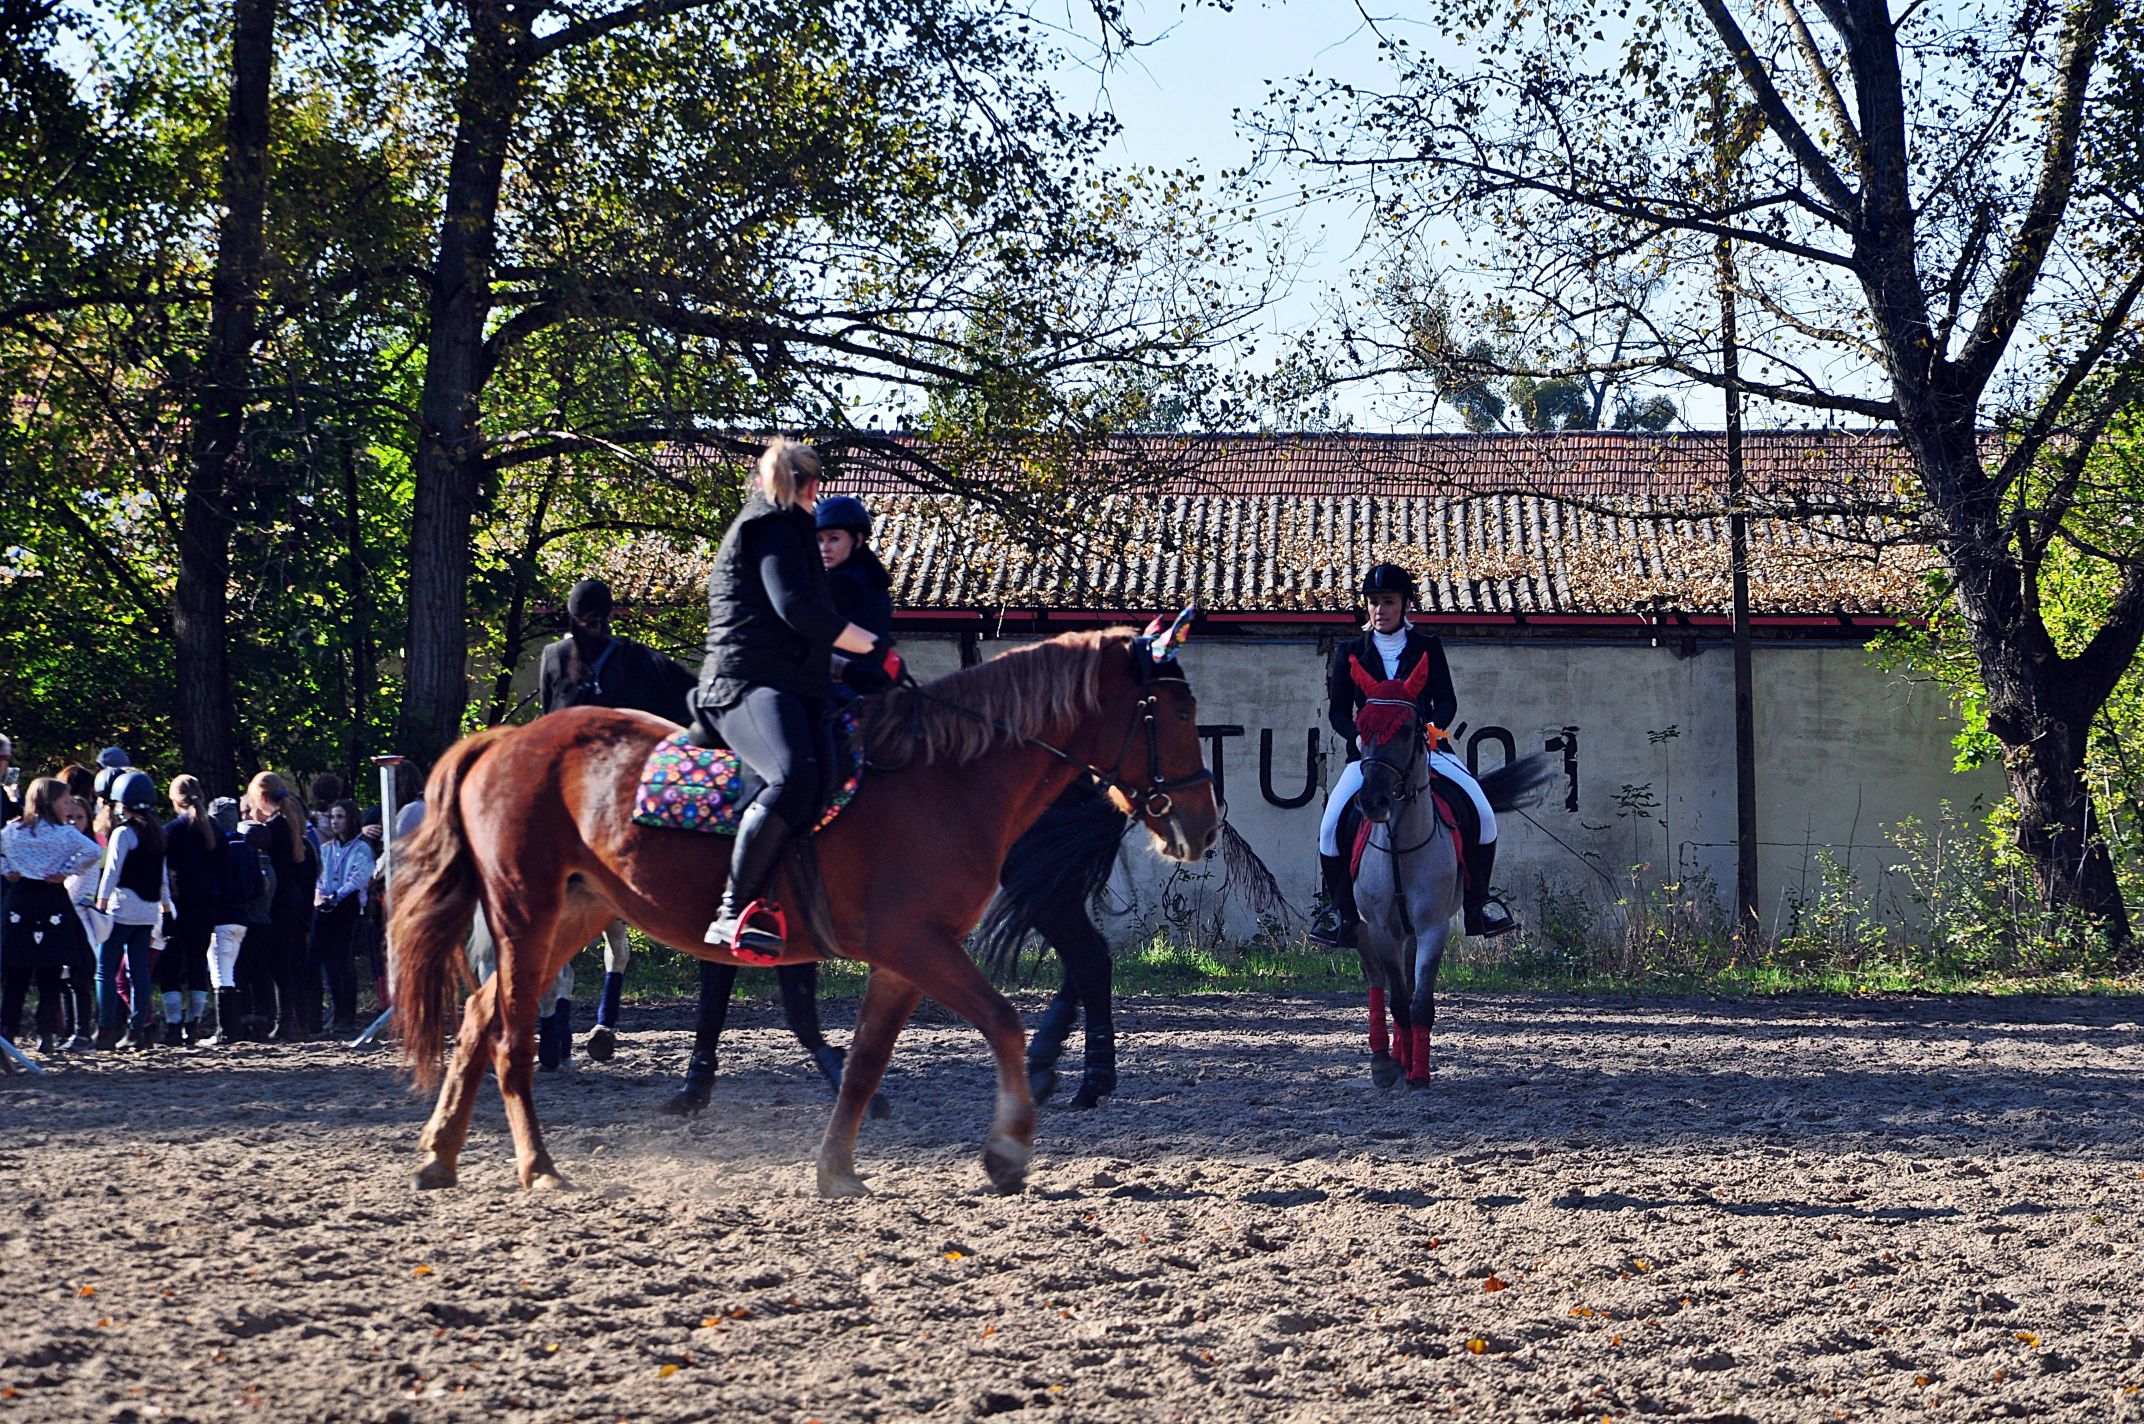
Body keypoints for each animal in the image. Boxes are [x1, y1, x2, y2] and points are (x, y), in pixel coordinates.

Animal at [392, 630, 1217, 1192]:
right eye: (1176, 711)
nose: (1203, 825)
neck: (948, 777)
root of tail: (505, 740)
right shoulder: (916, 943)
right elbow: (996, 1020)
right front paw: (1008, 1149)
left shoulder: (906, 956)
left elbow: (864, 1061)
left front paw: (837, 1168)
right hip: (527, 914)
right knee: (507, 1037)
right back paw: (535, 1165)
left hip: (573, 914)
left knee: (480, 1018)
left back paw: (441, 1154)